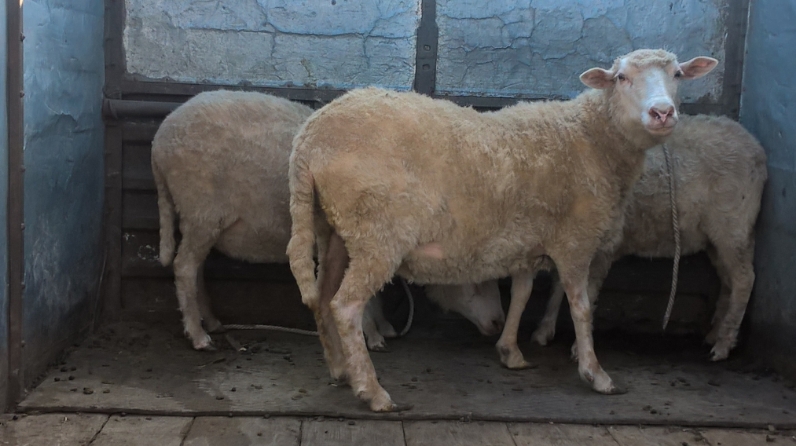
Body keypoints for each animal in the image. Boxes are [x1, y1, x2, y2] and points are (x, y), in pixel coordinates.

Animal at [151, 90, 506, 351]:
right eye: (475, 280)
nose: (498, 324)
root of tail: (160, 141)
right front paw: (372, 335)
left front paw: (383, 327)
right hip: (201, 209)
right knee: (184, 268)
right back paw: (198, 336)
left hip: (198, 219)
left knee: (195, 268)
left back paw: (209, 321)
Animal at [287, 49, 717, 411]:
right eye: (622, 77)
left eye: (678, 74)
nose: (662, 113)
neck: (592, 138)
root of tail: (309, 139)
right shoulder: (575, 240)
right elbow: (580, 306)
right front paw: (596, 374)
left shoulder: (527, 239)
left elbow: (522, 296)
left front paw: (510, 351)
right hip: (377, 232)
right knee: (345, 306)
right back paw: (373, 391)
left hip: (335, 229)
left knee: (322, 298)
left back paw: (341, 370)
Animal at [530, 114, 767, 362]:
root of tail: (754, 146)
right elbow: (559, 285)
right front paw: (544, 331)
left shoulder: (601, 249)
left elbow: (587, 291)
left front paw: (579, 347)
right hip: (717, 238)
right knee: (729, 281)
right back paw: (715, 334)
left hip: (733, 226)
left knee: (744, 280)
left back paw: (723, 344)